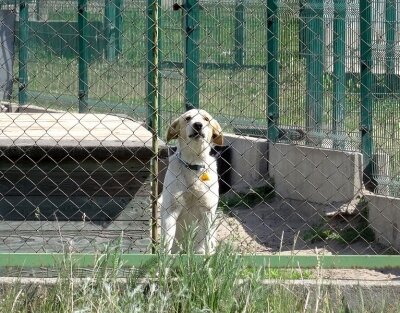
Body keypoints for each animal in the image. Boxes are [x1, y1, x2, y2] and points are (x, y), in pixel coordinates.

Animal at [159, 108, 222, 252]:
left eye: (206, 119)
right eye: (188, 118)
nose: (198, 125)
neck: (194, 163)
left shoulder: (208, 212)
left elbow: (207, 246)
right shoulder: (171, 211)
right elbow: (166, 245)